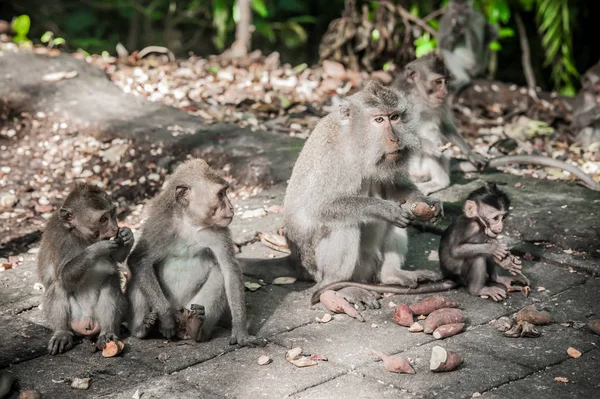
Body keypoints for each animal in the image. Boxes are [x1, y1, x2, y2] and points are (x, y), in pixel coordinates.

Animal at [37, 183, 133, 354]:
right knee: (57, 285)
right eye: (103, 219)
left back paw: (107, 333)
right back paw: (62, 333)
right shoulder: (62, 241)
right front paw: (96, 250)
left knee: (110, 282)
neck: (80, 236)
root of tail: (87, 323)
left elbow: (116, 259)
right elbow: (64, 277)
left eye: (113, 214)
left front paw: (127, 235)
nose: (115, 228)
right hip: (75, 318)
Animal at [127, 158, 254, 346]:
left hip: (190, 307)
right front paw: (166, 318)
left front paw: (240, 331)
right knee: (139, 275)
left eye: (225, 192)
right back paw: (142, 329)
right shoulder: (159, 228)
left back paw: (196, 329)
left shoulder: (217, 232)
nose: (231, 208)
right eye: (220, 194)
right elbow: (139, 260)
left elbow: (229, 269)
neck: (190, 223)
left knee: (219, 273)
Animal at [282, 78, 454, 310]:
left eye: (395, 117)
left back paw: (392, 275)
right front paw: (384, 209)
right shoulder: (332, 157)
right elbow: (318, 207)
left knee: (398, 223)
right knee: (344, 224)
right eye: (379, 119)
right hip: (317, 265)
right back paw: (339, 287)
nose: (395, 139)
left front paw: (426, 201)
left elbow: (394, 189)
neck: (357, 144)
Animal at [394, 52, 488, 196]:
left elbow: (445, 126)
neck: (418, 97)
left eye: (446, 82)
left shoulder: (442, 104)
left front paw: (471, 154)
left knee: (433, 133)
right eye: (438, 82)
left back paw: (439, 182)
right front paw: (430, 146)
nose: (445, 92)